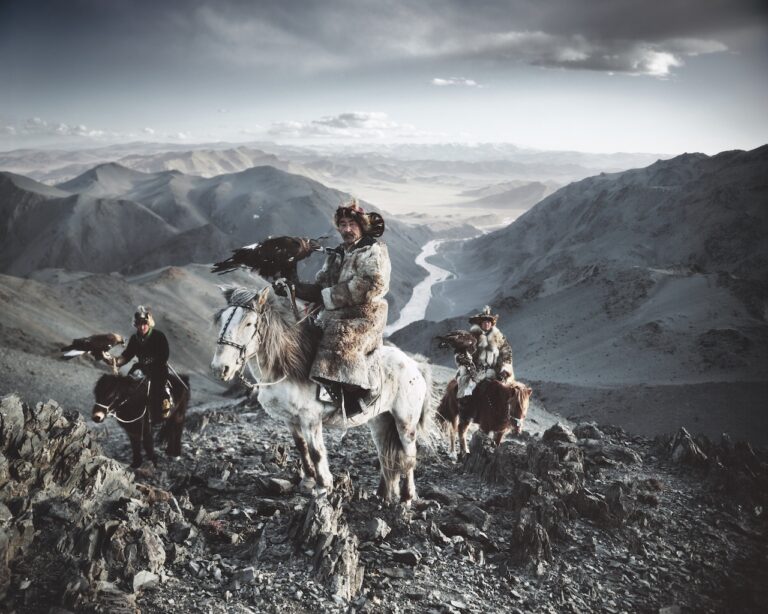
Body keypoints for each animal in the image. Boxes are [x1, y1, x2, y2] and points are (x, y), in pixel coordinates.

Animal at [210, 286, 432, 502]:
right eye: (222, 319)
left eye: (248, 323)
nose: (221, 368)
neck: (286, 368)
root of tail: (414, 365)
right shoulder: (290, 420)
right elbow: (301, 447)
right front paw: (308, 481)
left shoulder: (310, 418)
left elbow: (316, 452)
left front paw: (323, 486)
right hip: (380, 420)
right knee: (384, 453)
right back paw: (383, 496)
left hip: (405, 421)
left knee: (409, 454)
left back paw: (406, 498)